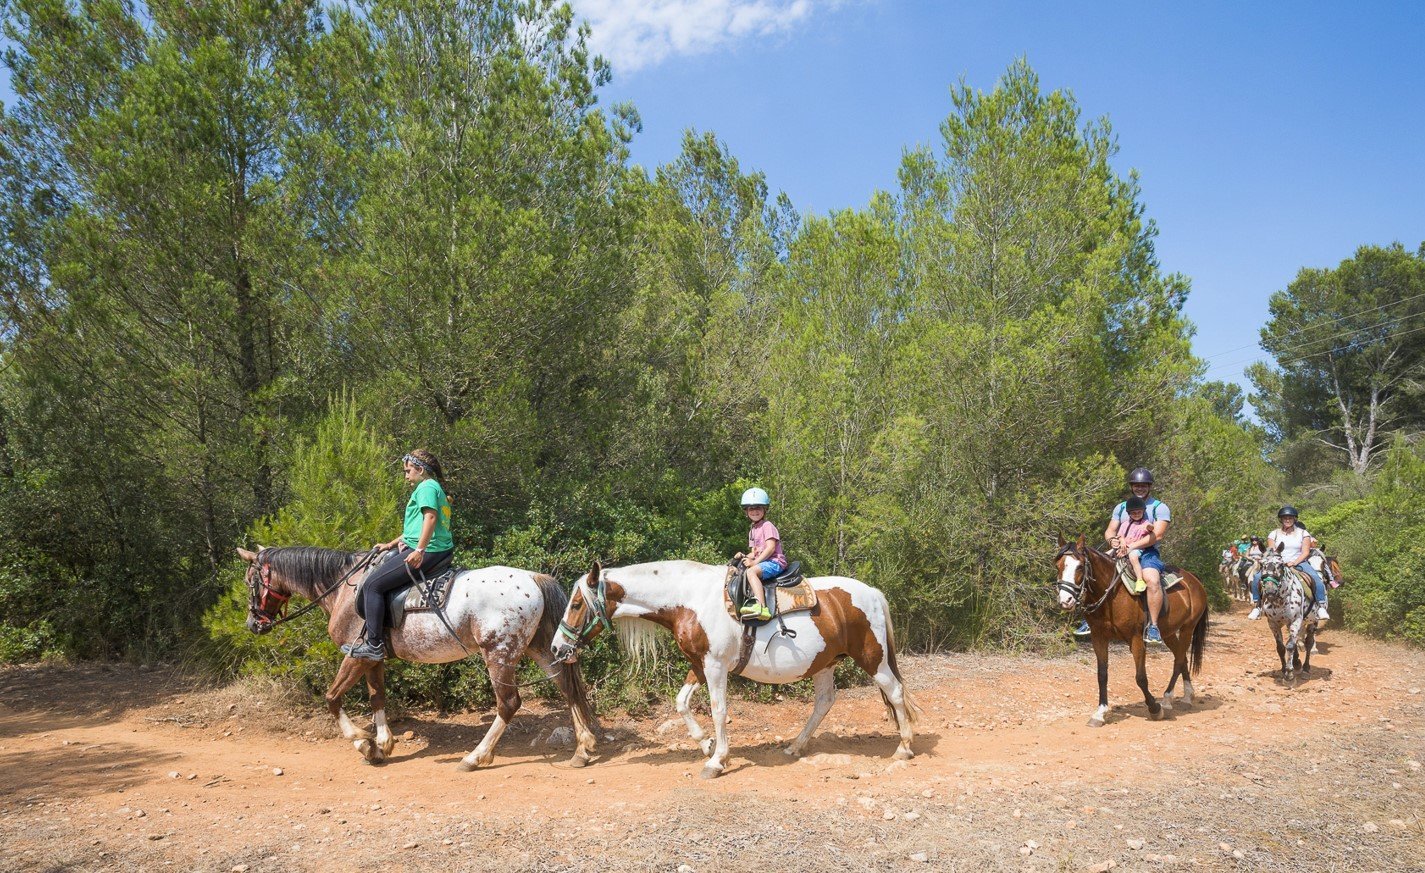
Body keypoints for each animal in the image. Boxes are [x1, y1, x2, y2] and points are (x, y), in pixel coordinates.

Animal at [237, 546, 598, 769]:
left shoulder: (354, 655)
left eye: (250, 581)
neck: (344, 589)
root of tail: (534, 579)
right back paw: (583, 748)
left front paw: (362, 742)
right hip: (540, 647)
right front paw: (383, 744)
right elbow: (377, 696)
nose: (253, 624)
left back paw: (475, 757)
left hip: (499, 654)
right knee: (567, 687)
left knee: (509, 703)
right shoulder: (373, 657)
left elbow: (332, 698)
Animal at [550, 559, 922, 779]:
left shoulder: (715, 667)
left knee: (895, 692)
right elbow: (682, 703)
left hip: (872, 657)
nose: (557, 648)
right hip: (824, 664)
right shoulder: (699, 665)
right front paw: (706, 745)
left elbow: (718, 710)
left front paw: (717, 760)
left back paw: (904, 748)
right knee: (824, 703)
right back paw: (795, 747)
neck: (690, 599)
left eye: (577, 603)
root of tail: (871, 592)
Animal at [1053, 535, 1209, 726]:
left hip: (1188, 628)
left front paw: (1154, 708)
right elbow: (1102, 675)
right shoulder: (1099, 637)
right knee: (1182, 658)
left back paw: (1167, 699)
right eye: (1058, 566)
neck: (1111, 596)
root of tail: (1193, 580)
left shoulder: (1136, 639)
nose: (1065, 600)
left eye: (1080, 566)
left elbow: (1140, 678)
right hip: (1169, 633)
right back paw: (1187, 695)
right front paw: (1100, 713)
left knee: (1179, 660)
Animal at [1256, 545, 1320, 684]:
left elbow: (1290, 646)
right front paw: (1284, 668)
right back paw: (1296, 662)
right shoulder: (1273, 623)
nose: (1270, 590)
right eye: (1261, 564)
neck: (1280, 599)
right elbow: (1281, 647)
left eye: (1281, 565)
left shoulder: (1295, 620)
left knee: (1309, 642)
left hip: (1312, 621)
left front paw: (1289, 675)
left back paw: (1305, 668)